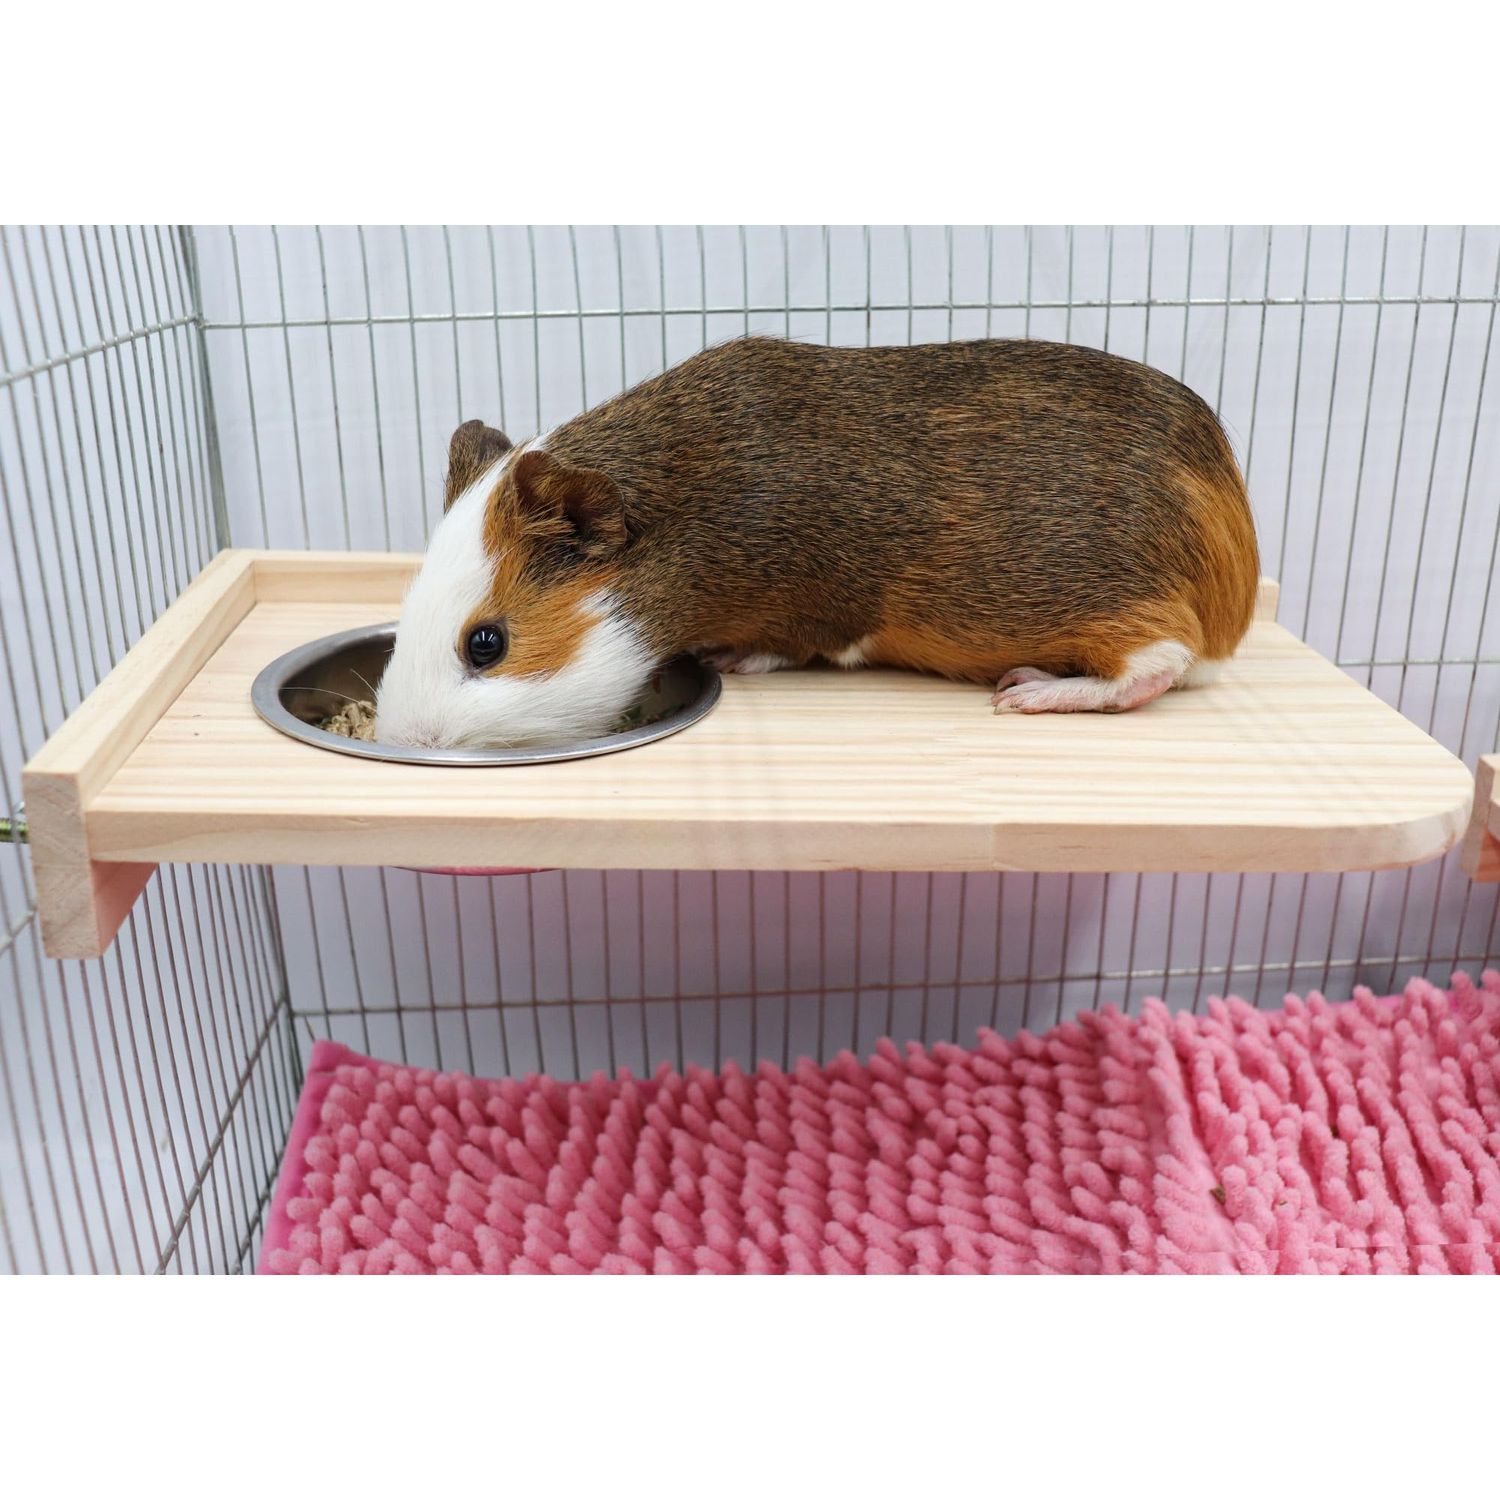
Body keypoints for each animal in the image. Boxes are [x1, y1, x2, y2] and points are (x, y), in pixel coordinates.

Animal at [374, 336, 1259, 749]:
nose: (403, 738)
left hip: (1125, 615)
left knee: (1154, 667)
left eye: (486, 643)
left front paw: (733, 660)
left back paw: (1026, 691)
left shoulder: (812, 616)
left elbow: (796, 645)